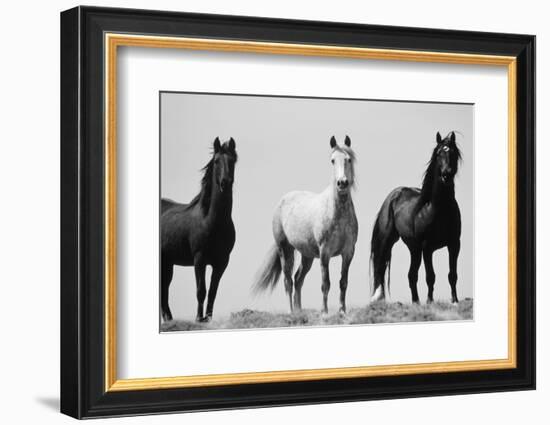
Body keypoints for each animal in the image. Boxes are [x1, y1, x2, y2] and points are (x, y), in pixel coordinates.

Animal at [160, 137, 237, 322]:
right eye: (216, 161)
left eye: (232, 161)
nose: (225, 182)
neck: (211, 221)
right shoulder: (199, 260)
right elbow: (201, 291)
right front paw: (198, 318)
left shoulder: (221, 262)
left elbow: (213, 292)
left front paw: (207, 319)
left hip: (167, 263)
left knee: (164, 290)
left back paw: (169, 319)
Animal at [253, 137, 360, 314]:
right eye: (332, 160)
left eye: (349, 159)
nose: (342, 183)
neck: (337, 213)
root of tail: (283, 200)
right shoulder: (325, 253)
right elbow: (326, 284)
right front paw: (324, 312)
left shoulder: (348, 252)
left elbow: (343, 282)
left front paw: (342, 311)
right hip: (285, 250)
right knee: (288, 281)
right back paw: (291, 312)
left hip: (307, 255)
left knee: (298, 279)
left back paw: (299, 311)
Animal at [370, 131, 466, 304]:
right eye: (438, 153)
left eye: (454, 153)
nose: (446, 174)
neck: (438, 209)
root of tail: (393, 195)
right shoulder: (427, 247)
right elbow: (430, 276)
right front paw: (430, 302)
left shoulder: (454, 244)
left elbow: (452, 275)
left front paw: (454, 301)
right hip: (390, 241)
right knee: (381, 267)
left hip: (414, 249)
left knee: (411, 275)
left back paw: (416, 302)